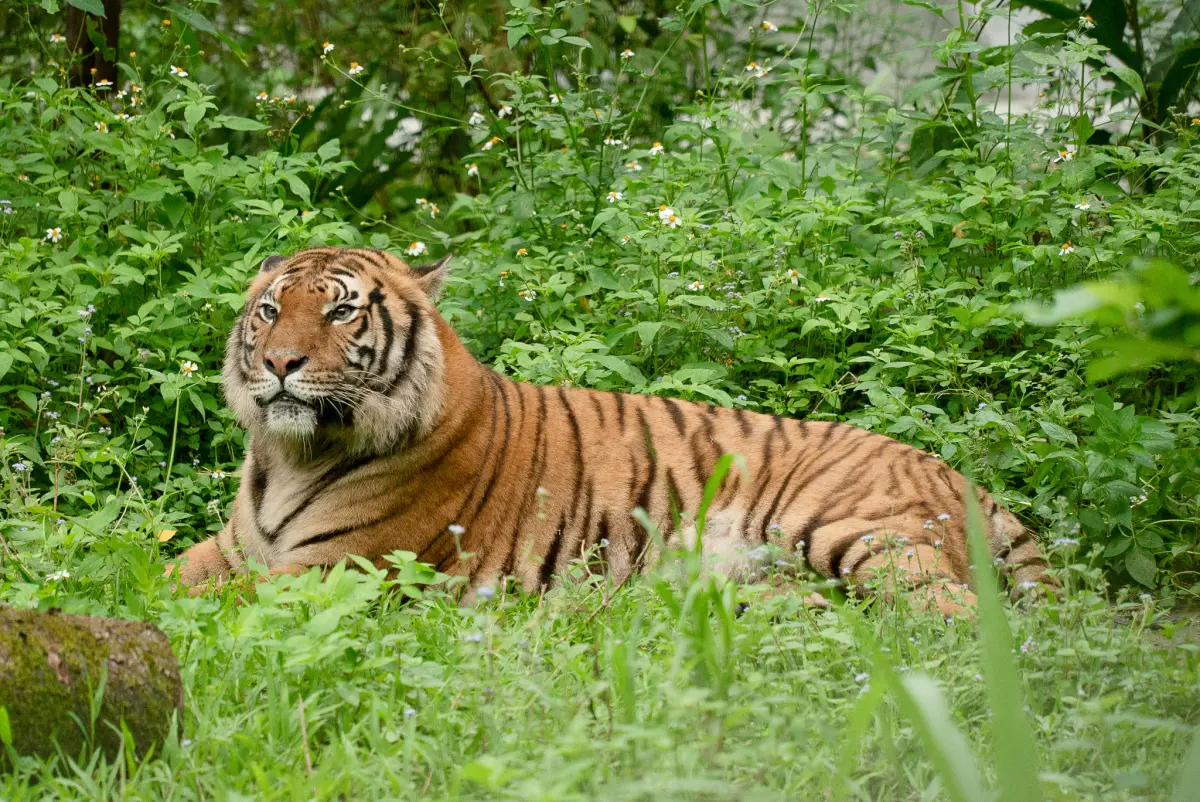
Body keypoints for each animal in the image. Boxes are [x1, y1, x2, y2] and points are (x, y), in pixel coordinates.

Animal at [170, 247, 1052, 616]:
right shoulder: (237, 550)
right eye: (271, 310)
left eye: (341, 312)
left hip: (858, 531)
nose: (279, 363)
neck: (291, 453)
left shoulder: (335, 568)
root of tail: (960, 474)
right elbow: (161, 572)